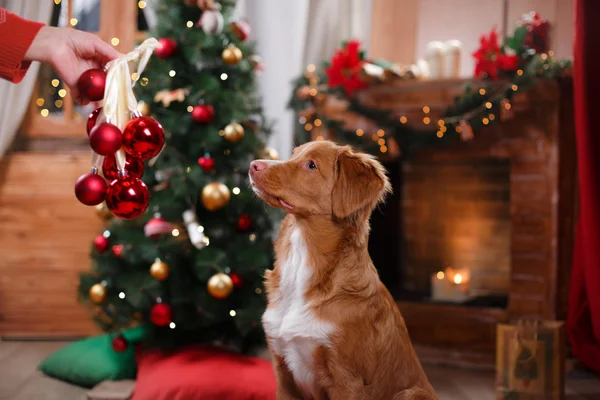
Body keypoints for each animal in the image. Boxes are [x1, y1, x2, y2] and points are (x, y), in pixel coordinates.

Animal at [248, 141, 436, 400]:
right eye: (294, 153)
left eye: (311, 165)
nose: (253, 165)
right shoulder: (283, 373)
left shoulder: (347, 379)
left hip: (411, 393)